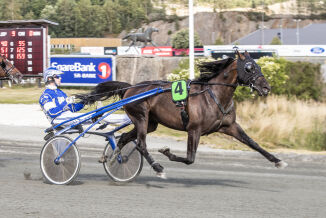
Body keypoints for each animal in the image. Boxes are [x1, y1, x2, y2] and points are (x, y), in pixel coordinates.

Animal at [79, 51, 288, 179]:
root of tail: (130, 88)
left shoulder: (230, 126)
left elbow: (253, 143)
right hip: (141, 117)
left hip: (150, 123)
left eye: (258, 66)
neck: (213, 95)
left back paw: (112, 157)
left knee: (123, 137)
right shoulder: (194, 129)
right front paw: (166, 152)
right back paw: (157, 168)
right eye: (249, 67)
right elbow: (190, 158)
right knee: (141, 144)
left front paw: (278, 161)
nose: (266, 87)